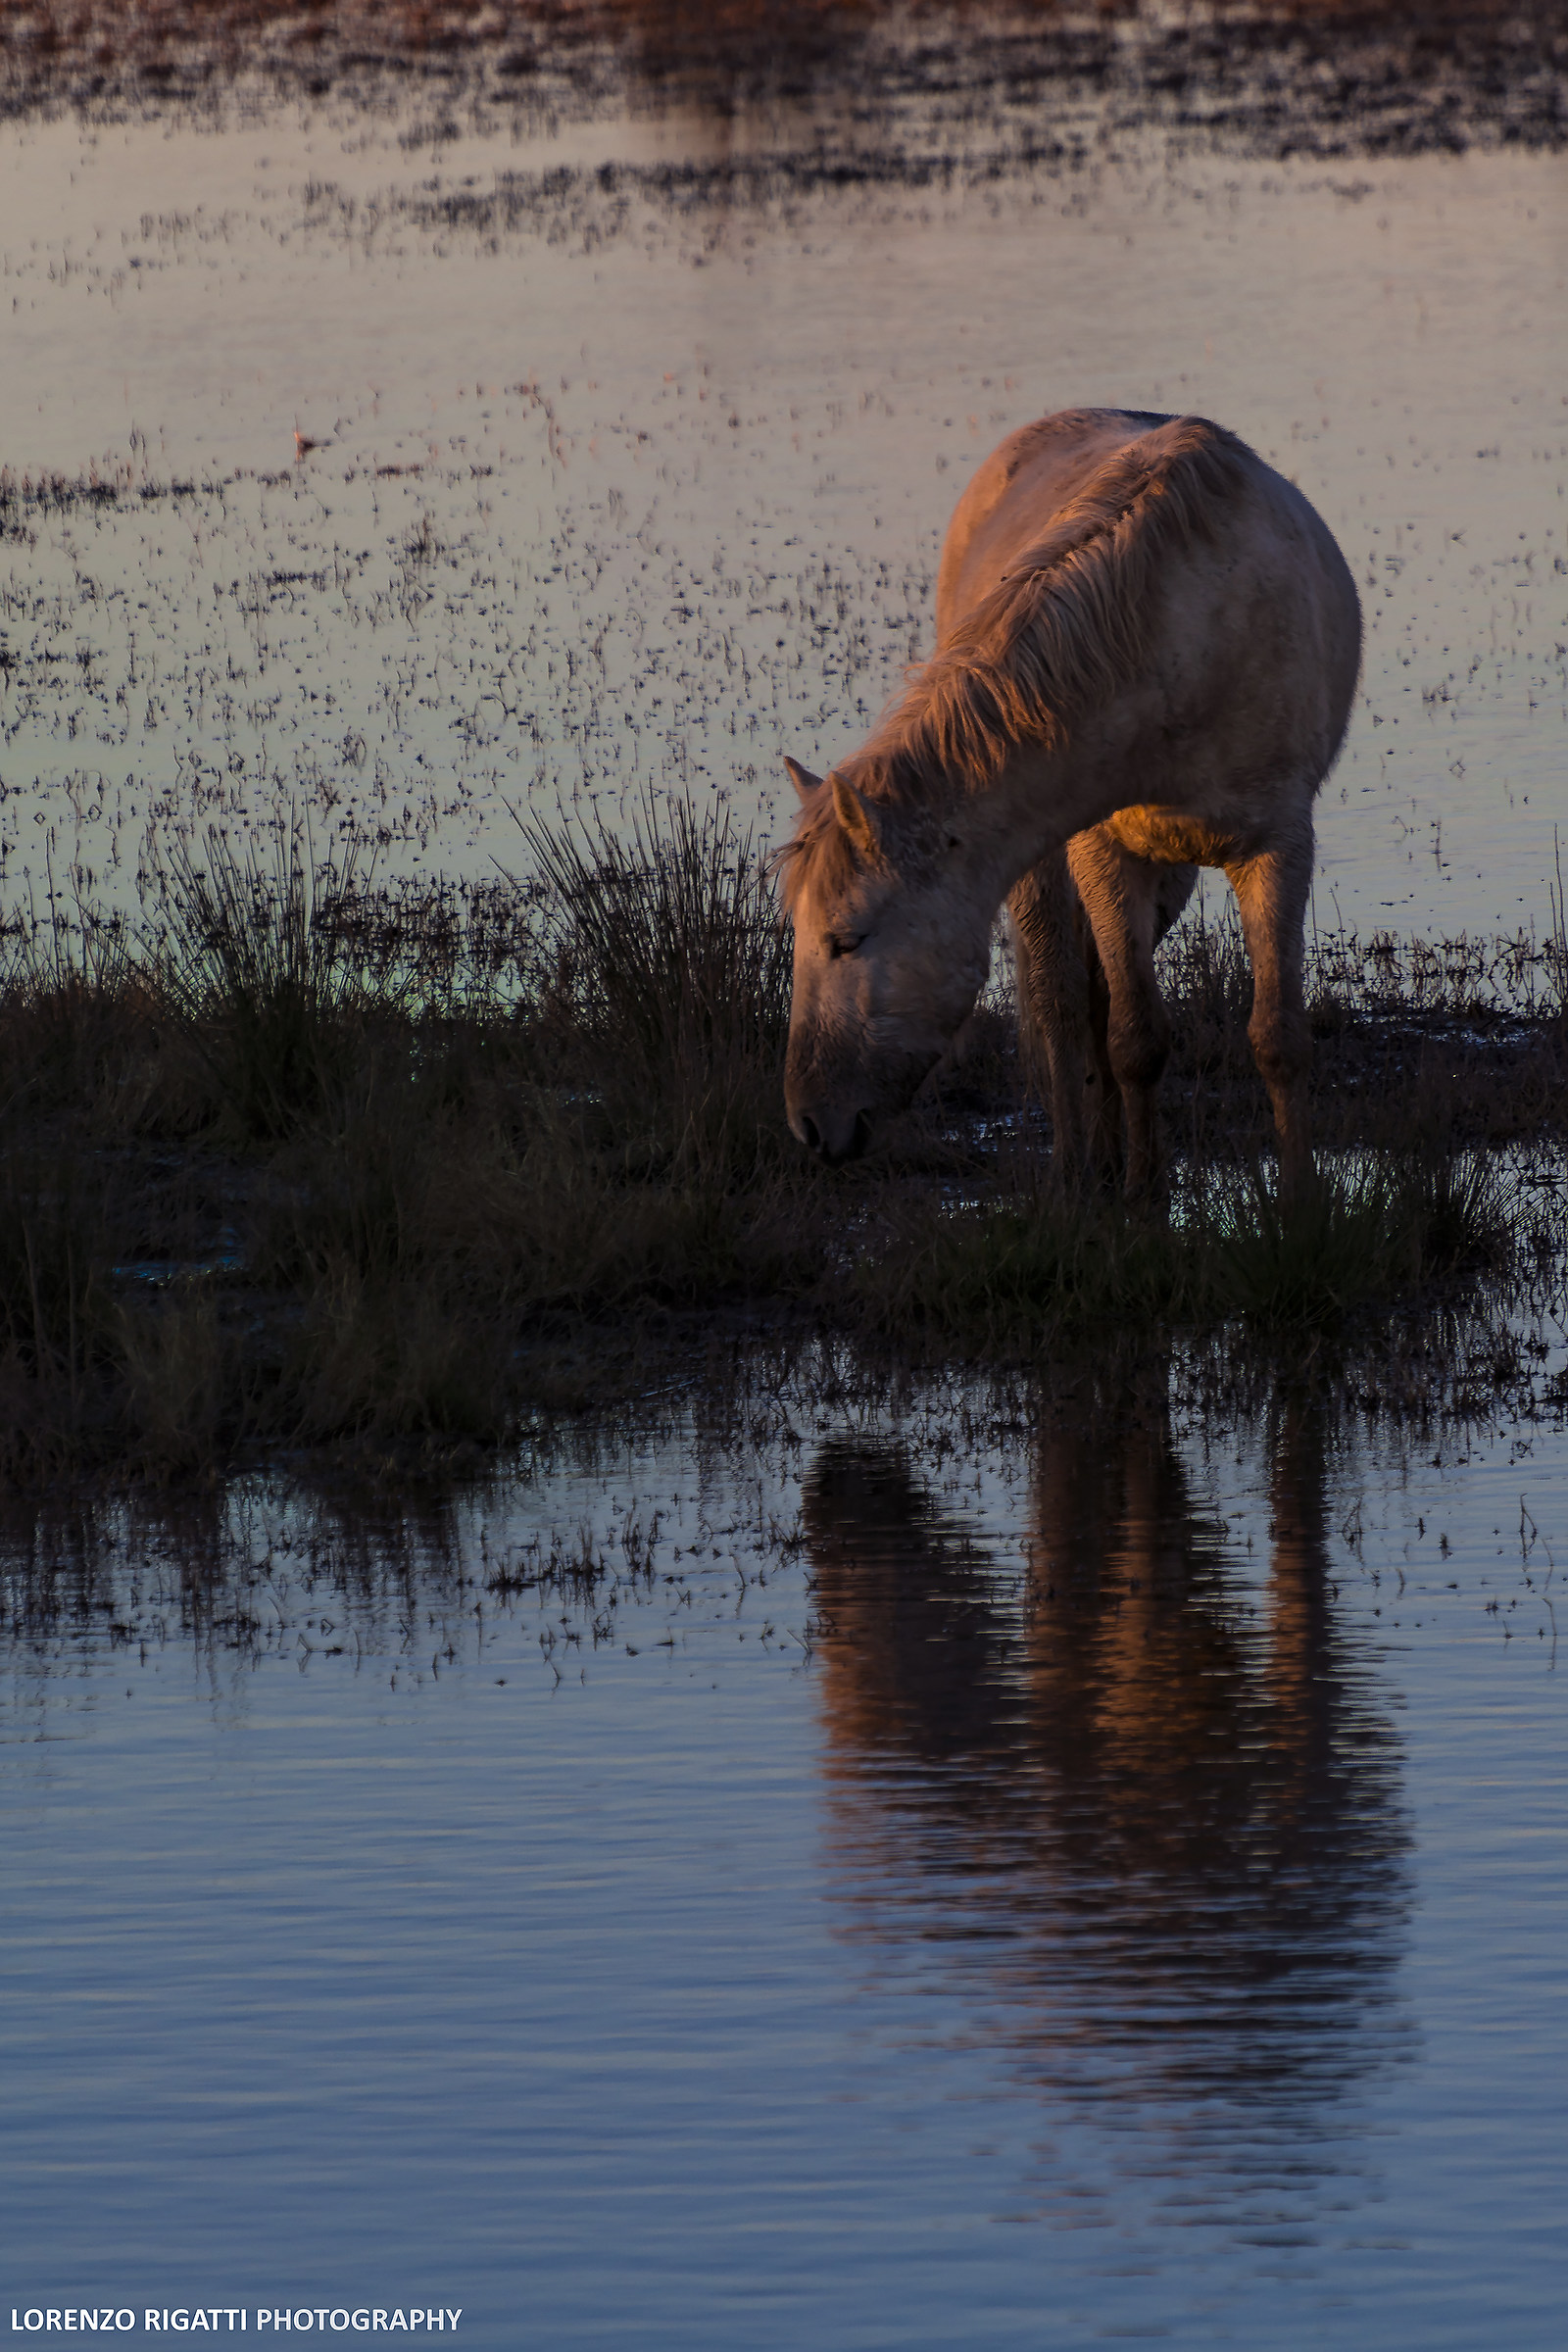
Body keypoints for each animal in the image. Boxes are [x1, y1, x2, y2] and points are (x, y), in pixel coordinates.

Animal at [775, 408, 1362, 1197]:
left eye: (845, 939)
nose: (809, 1124)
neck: (1177, 635)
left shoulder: (1277, 846)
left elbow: (1277, 1039)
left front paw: (1300, 1204)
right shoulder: (1101, 852)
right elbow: (1133, 1039)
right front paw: (1144, 1195)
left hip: (1168, 876)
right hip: (1051, 866)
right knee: (1062, 1001)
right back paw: (1079, 1171)